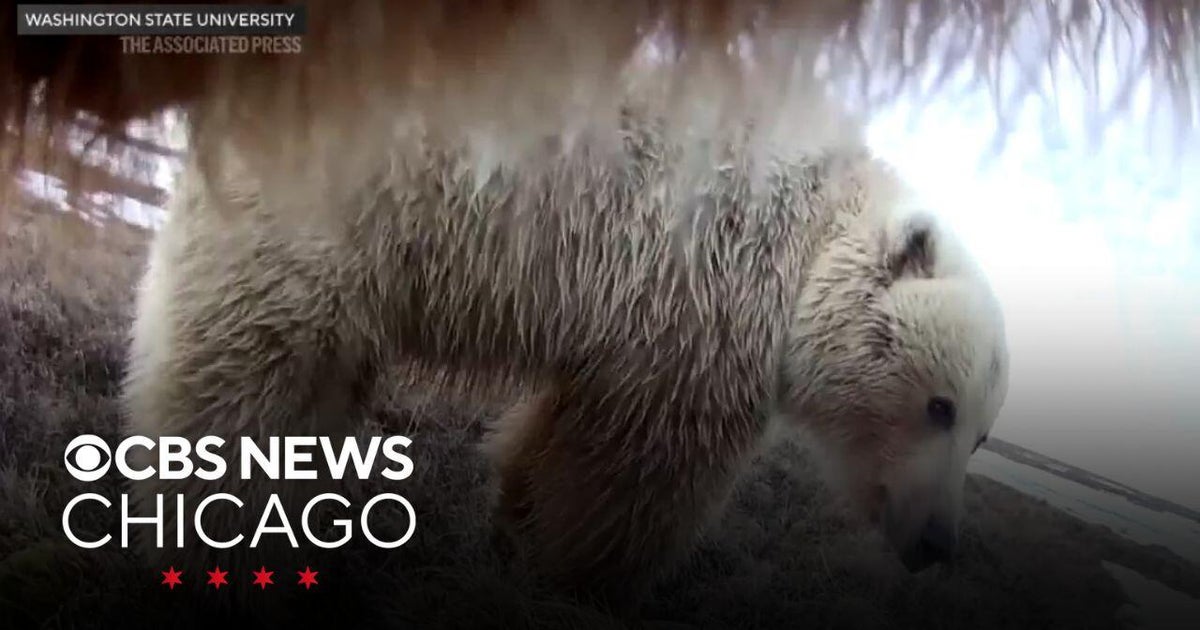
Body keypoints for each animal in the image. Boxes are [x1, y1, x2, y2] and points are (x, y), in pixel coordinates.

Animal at [121, 106, 1008, 606]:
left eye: (982, 435)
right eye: (939, 405)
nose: (938, 545)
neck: (812, 233)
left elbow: (570, 427)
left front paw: (514, 525)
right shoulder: (699, 293)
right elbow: (639, 463)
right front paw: (581, 577)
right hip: (347, 205)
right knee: (258, 352)